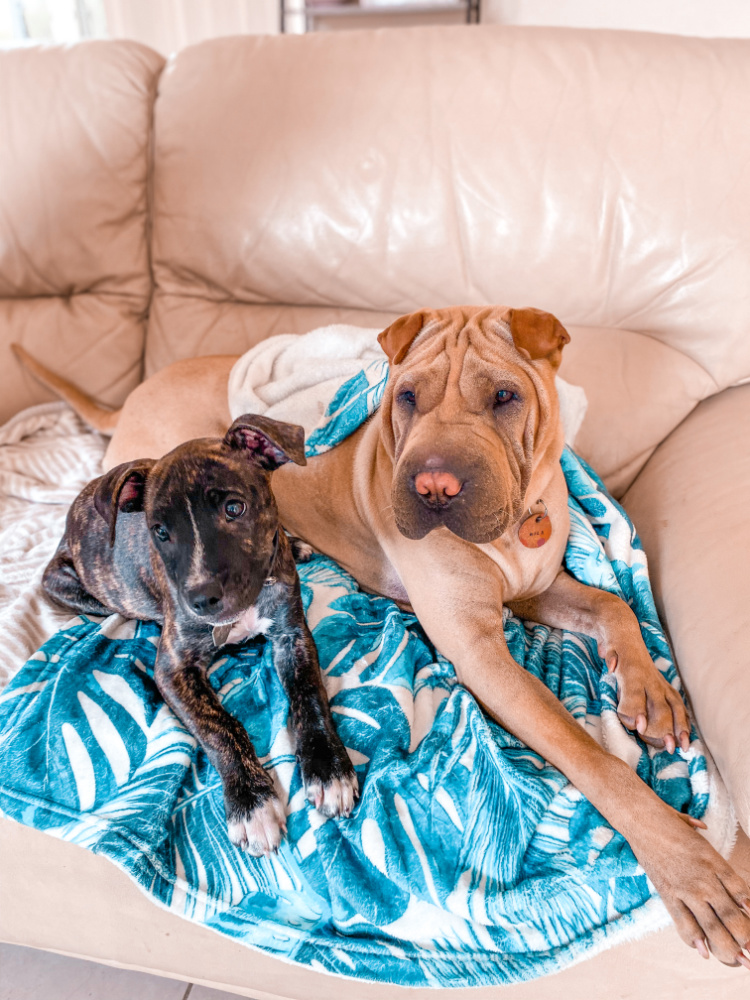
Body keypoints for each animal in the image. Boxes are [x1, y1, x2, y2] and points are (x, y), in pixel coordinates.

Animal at [42, 412, 360, 852]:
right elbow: (219, 727)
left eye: (234, 507)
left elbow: (309, 695)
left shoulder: (292, 634)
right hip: (69, 587)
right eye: (160, 532)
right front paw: (251, 802)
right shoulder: (173, 669)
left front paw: (328, 768)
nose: (200, 598)